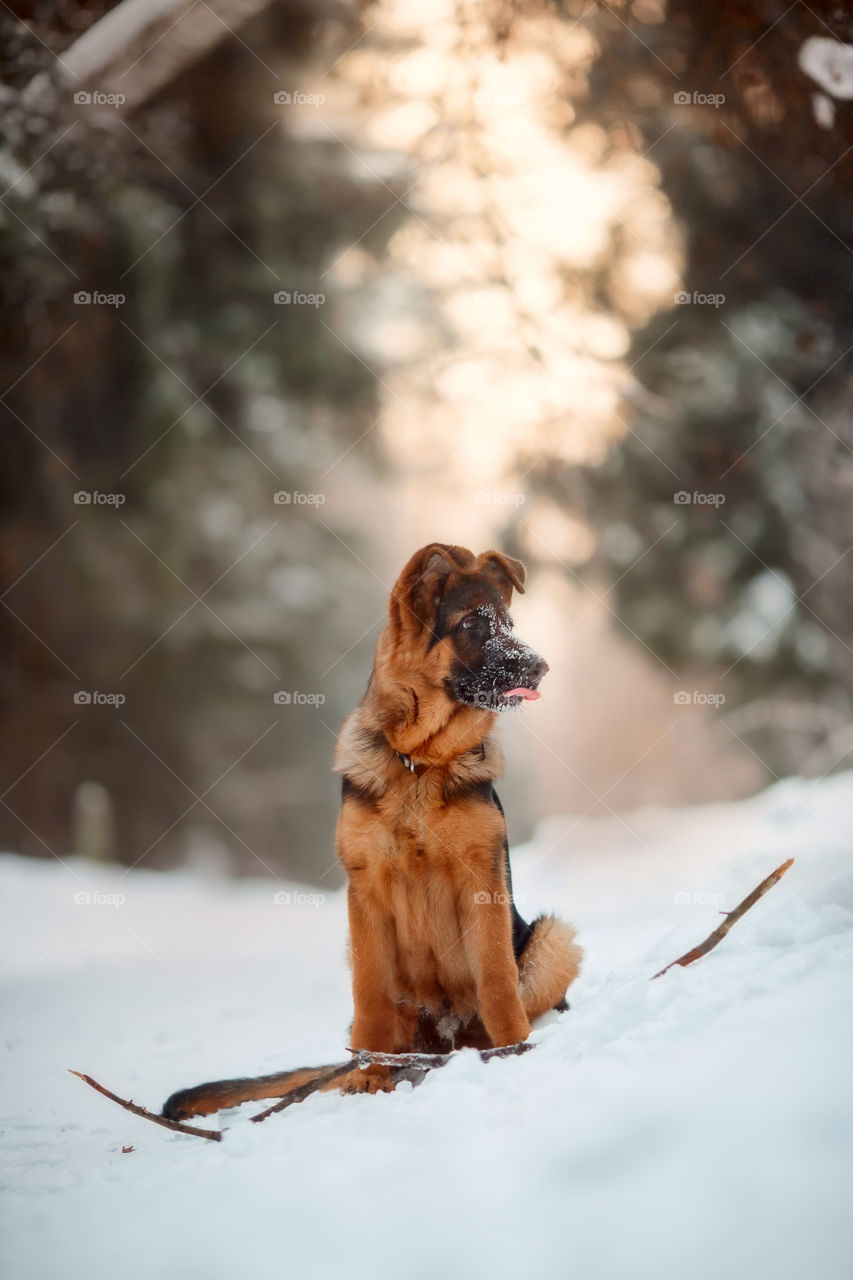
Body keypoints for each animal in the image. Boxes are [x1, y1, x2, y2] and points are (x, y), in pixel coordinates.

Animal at [161, 542, 578, 1121]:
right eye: (473, 623)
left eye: (509, 624)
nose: (541, 667)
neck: (420, 763)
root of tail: (442, 1042)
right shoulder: (365, 894)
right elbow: (369, 995)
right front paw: (370, 1077)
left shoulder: (483, 883)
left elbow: (497, 980)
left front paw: (516, 1051)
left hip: (552, 940)